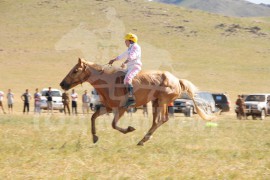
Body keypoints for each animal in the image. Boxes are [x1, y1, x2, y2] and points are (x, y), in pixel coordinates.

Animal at [59, 58, 213, 146]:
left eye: (75, 70)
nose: (62, 84)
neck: (108, 82)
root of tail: (177, 81)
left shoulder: (121, 109)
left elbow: (114, 125)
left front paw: (129, 129)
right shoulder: (107, 108)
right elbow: (93, 117)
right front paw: (95, 137)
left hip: (163, 101)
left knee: (162, 119)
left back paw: (144, 139)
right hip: (155, 103)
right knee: (156, 121)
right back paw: (143, 140)